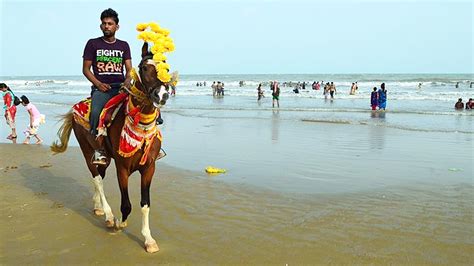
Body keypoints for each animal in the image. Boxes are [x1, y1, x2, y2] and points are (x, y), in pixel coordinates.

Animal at [51, 42, 169, 252]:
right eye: (144, 68)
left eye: (167, 67)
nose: (161, 95)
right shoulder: (122, 168)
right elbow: (126, 205)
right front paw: (119, 224)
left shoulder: (149, 168)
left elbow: (145, 204)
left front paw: (148, 240)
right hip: (87, 151)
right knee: (97, 179)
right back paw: (108, 215)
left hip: (104, 158)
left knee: (99, 177)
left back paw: (98, 207)